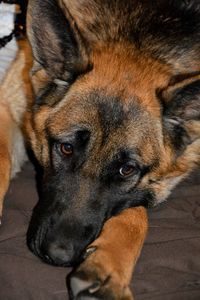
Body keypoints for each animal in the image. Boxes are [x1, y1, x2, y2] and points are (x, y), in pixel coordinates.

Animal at [0, 0, 200, 298]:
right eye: (66, 148)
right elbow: (2, 158)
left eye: (127, 170)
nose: (58, 256)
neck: (137, 39)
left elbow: (136, 210)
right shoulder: (10, 107)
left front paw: (107, 268)